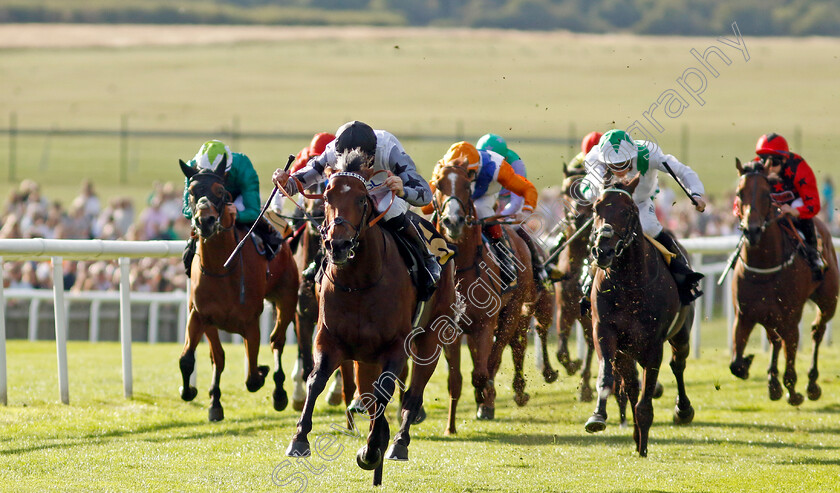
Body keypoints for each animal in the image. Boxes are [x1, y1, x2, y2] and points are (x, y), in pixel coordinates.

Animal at [176, 157, 300, 418]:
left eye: (220, 191)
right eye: (191, 192)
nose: (205, 221)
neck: (222, 268)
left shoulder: (251, 323)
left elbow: (252, 377)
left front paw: (263, 373)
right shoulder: (200, 316)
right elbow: (196, 359)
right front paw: (202, 396)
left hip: (286, 299)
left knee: (277, 340)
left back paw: (280, 392)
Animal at [286, 152, 456, 486]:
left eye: (363, 199)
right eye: (327, 195)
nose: (338, 245)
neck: (359, 282)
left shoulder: (396, 346)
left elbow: (385, 390)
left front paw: (372, 449)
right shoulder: (329, 338)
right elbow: (316, 379)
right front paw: (299, 438)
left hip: (430, 338)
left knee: (413, 393)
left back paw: (399, 442)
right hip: (365, 355)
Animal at [430, 158, 536, 430]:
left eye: (467, 186)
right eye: (438, 185)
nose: (453, 221)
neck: (462, 266)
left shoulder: (486, 323)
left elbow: (482, 372)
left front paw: (484, 396)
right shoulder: (450, 328)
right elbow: (455, 380)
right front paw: (450, 427)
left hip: (512, 311)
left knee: (504, 353)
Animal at [584, 175, 696, 456]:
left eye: (627, 211)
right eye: (596, 209)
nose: (602, 251)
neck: (629, 284)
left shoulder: (654, 343)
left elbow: (647, 399)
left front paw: (644, 446)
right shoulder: (604, 331)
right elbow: (608, 377)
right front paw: (597, 417)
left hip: (681, 334)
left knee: (678, 364)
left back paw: (683, 410)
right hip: (627, 349)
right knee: (631, 386)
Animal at [724, 158, 836, 404]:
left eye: (767, 194)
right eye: (738, 193)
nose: (752, 230)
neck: (764, 268)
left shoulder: (790, 319)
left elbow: (791, 358)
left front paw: (793, 392)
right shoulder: (744, 316)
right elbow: (736, 365)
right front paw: (750, 364)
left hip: (828, 301)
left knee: (817, 330)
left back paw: (812, 384)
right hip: (769, 315)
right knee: (774, 339)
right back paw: (773, 382)